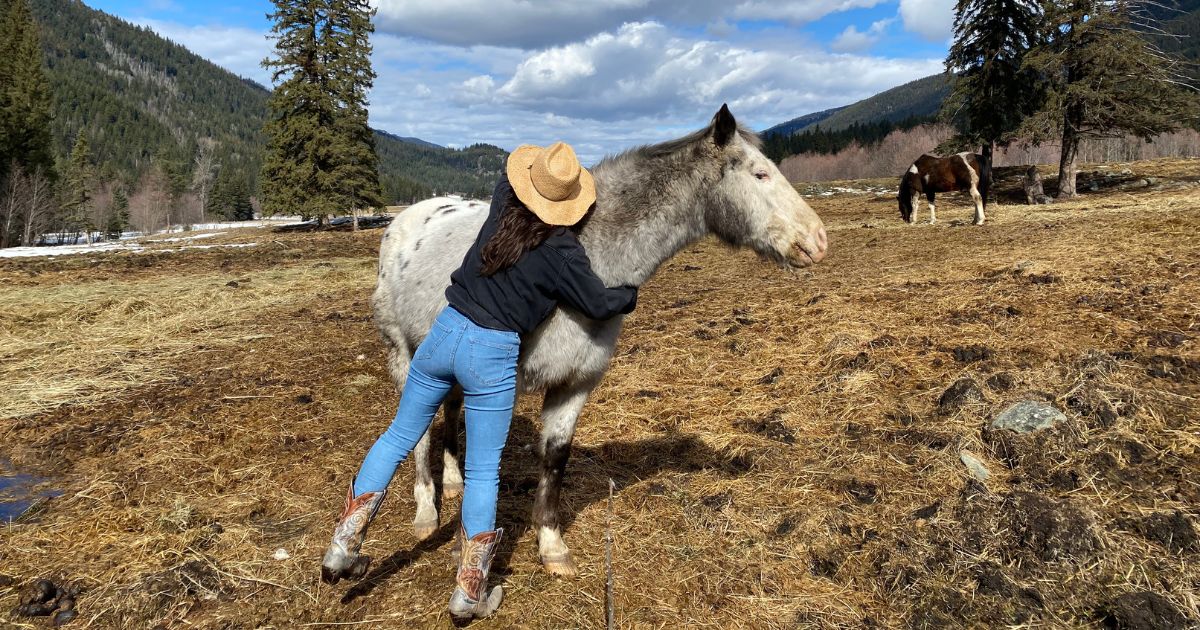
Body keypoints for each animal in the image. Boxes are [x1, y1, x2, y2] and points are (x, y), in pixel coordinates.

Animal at [369, 105, 830, 578]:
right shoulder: (500, 387)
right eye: (760, 174)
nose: (818, 240)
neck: (589, 255)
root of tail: (406, 218)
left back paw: (452, 482)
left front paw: (552, 547)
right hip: (404, 354)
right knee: (420, 430)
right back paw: (427, 512)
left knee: (449, 410)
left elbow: (555, 458)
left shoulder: (576, 382)